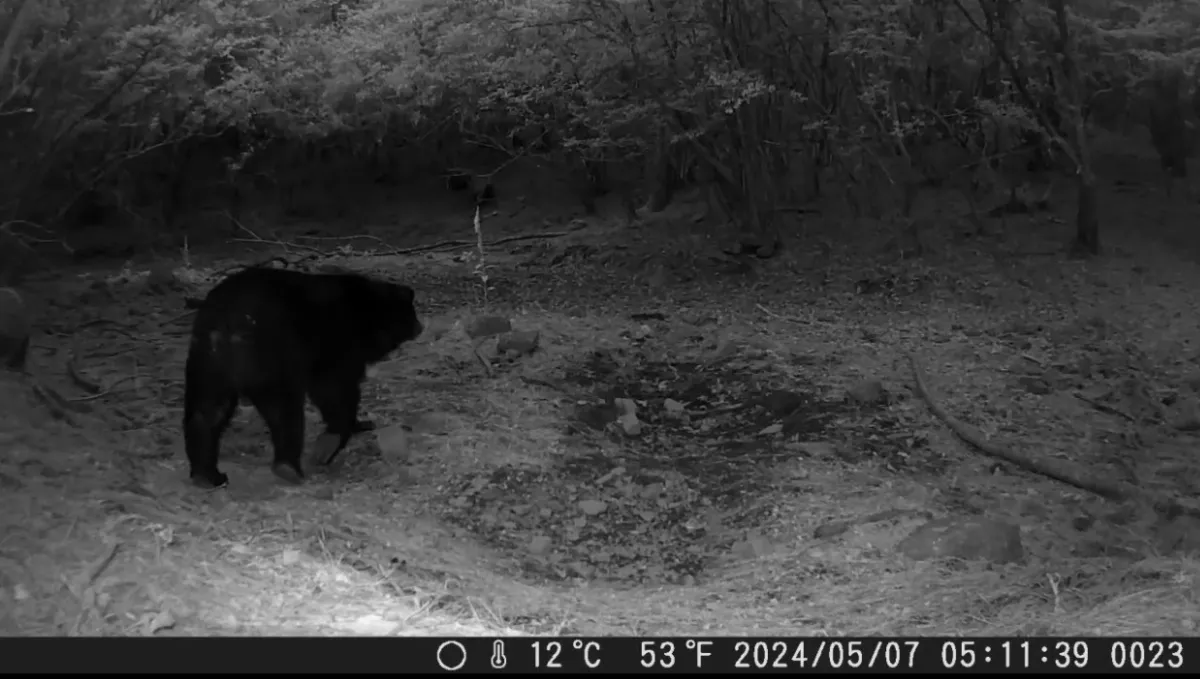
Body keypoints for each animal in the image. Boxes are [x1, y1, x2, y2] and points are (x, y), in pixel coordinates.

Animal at [183, 267, 423, 489]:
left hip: (208, 365)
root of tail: (226, 328)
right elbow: (333, 388)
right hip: (270, 359)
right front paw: (342, 432)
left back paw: (207, 475)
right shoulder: (336, 344)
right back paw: (288, 467)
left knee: (206, 412)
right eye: (412, 312)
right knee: (284, 412)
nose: (420, 327)